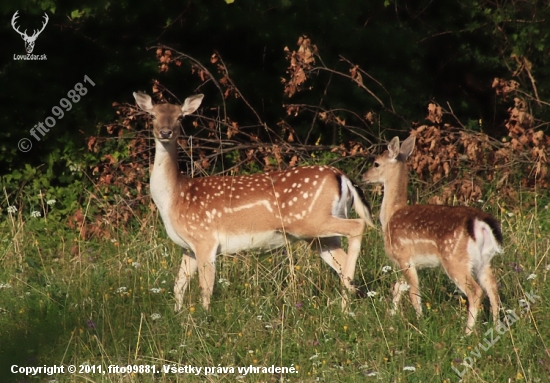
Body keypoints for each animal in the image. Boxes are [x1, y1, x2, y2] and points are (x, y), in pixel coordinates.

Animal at [135, 91, 376, 314]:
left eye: (180, 117)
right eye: (153, 115)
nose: (165, 132)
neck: (174, 198)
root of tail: (341, 177)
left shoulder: (205, 238)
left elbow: (206, 287)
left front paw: (204, 319)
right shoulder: (188, 247)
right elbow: (178, 285)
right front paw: (178, 315)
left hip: (310, 220)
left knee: (358, 226)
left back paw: (346, 301)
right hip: (318, 235)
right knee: (341, 260)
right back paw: (350, 301)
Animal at [364, 136, 502, 334]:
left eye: (376, 163)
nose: (363, 177)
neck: (390, 216)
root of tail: (479, 223)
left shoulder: (403, 256)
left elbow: (414, 292)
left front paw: (419, 323)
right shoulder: (408, 262)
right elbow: (399, 286)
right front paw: (392, 316)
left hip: (454, 258)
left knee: (475, 292)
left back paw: (467, 332)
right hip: (485, 260)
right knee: (493, 289)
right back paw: (497, 328)